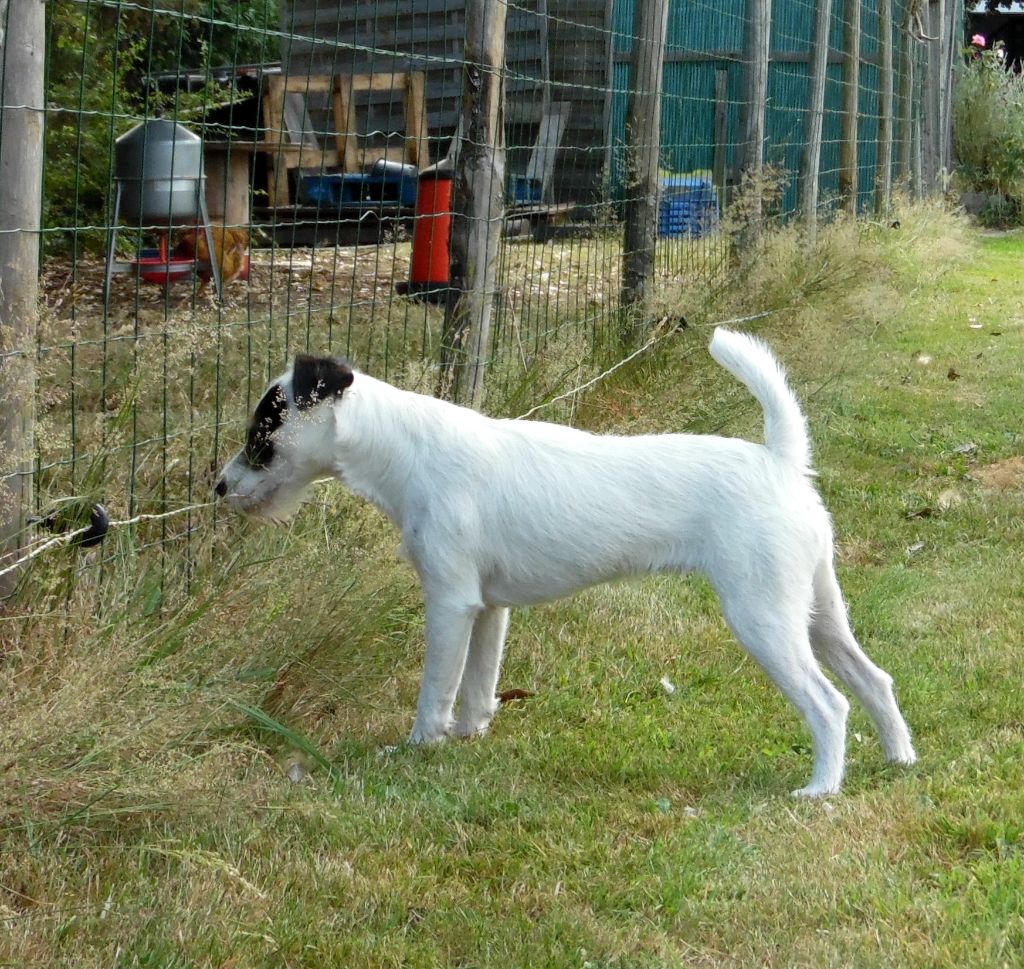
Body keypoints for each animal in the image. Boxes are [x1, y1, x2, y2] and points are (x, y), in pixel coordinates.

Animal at [218, 325, 921, 794]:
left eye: (261, 434)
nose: (218, 487)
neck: (406, 449)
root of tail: (781, 461)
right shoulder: (488, 608)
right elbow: (478, 687)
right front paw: (470, 739)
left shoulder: (449, 603)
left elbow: (436, 690)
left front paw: (419, 749)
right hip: (818, 611)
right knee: (875, 680)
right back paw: (899, 759)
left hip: (765, 618)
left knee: (830, 705)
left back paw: (821, 790)